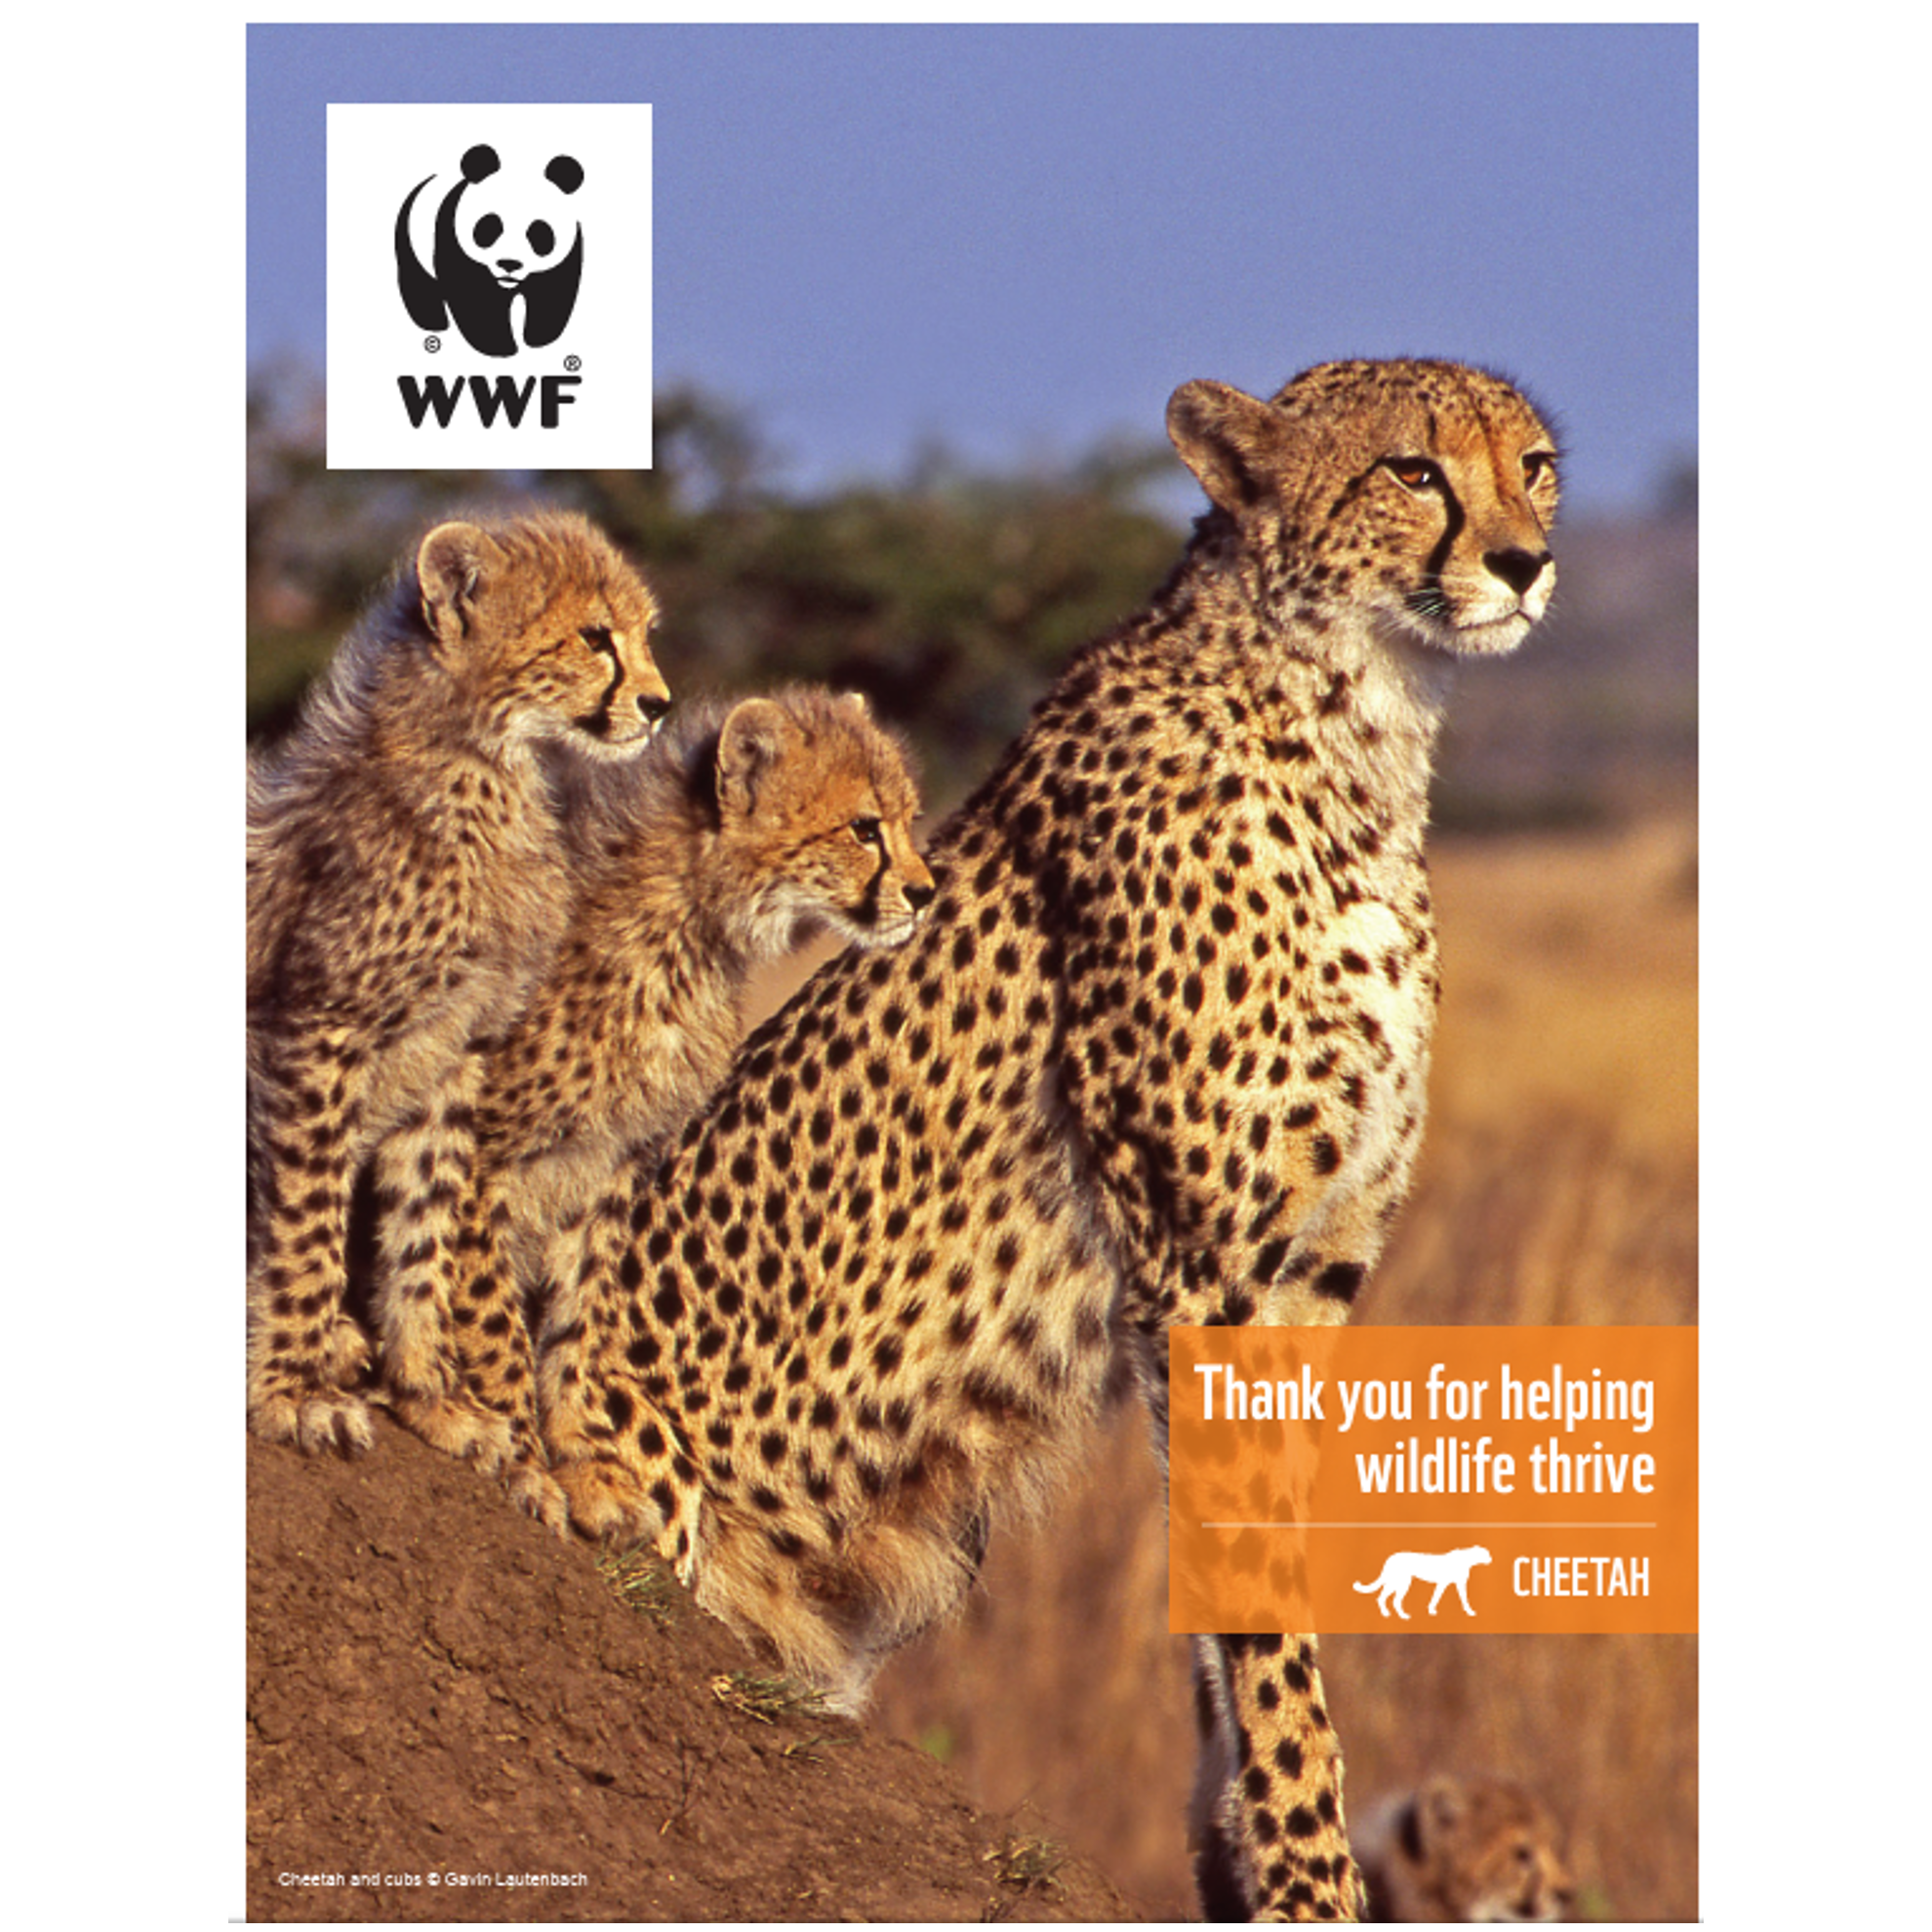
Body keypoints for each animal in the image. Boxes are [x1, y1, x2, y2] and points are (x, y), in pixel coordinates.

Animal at [246, 510, 671, 1461]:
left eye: (644, 634)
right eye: (594, 637)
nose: (660, 704)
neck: (487, 765)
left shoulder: (456, 1048)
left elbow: (425, 1228)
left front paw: (435, 1398)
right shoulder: (320, 1026)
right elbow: (305, 1216)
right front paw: (294, 1392)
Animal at [386, 685, 935, 1525]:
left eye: (908, 818)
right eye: (864, 828)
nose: (925, 892)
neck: (695, 931)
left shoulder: (614, 1164)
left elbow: (577, 1326)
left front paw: (582, 1465)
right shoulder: (484, 1149)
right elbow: (488, 1316)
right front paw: (523, 1461)